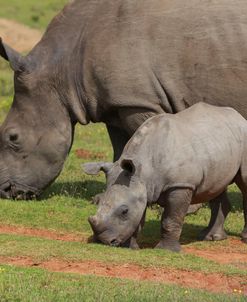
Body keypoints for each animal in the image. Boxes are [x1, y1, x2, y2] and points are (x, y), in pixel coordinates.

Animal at [84, 104, 247, 252]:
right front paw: (130, 247)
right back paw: (211, 237)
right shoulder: (142, 188)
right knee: (215, 187)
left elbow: (171, 219)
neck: (143, 168)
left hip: (243, 136)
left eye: (124, 211)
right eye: (98, 201)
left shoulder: (180, 184)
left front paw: (166, 250)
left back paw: (242, 239)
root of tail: (238, 116)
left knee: (243, 182)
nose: (103, 241)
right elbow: (138, 219)